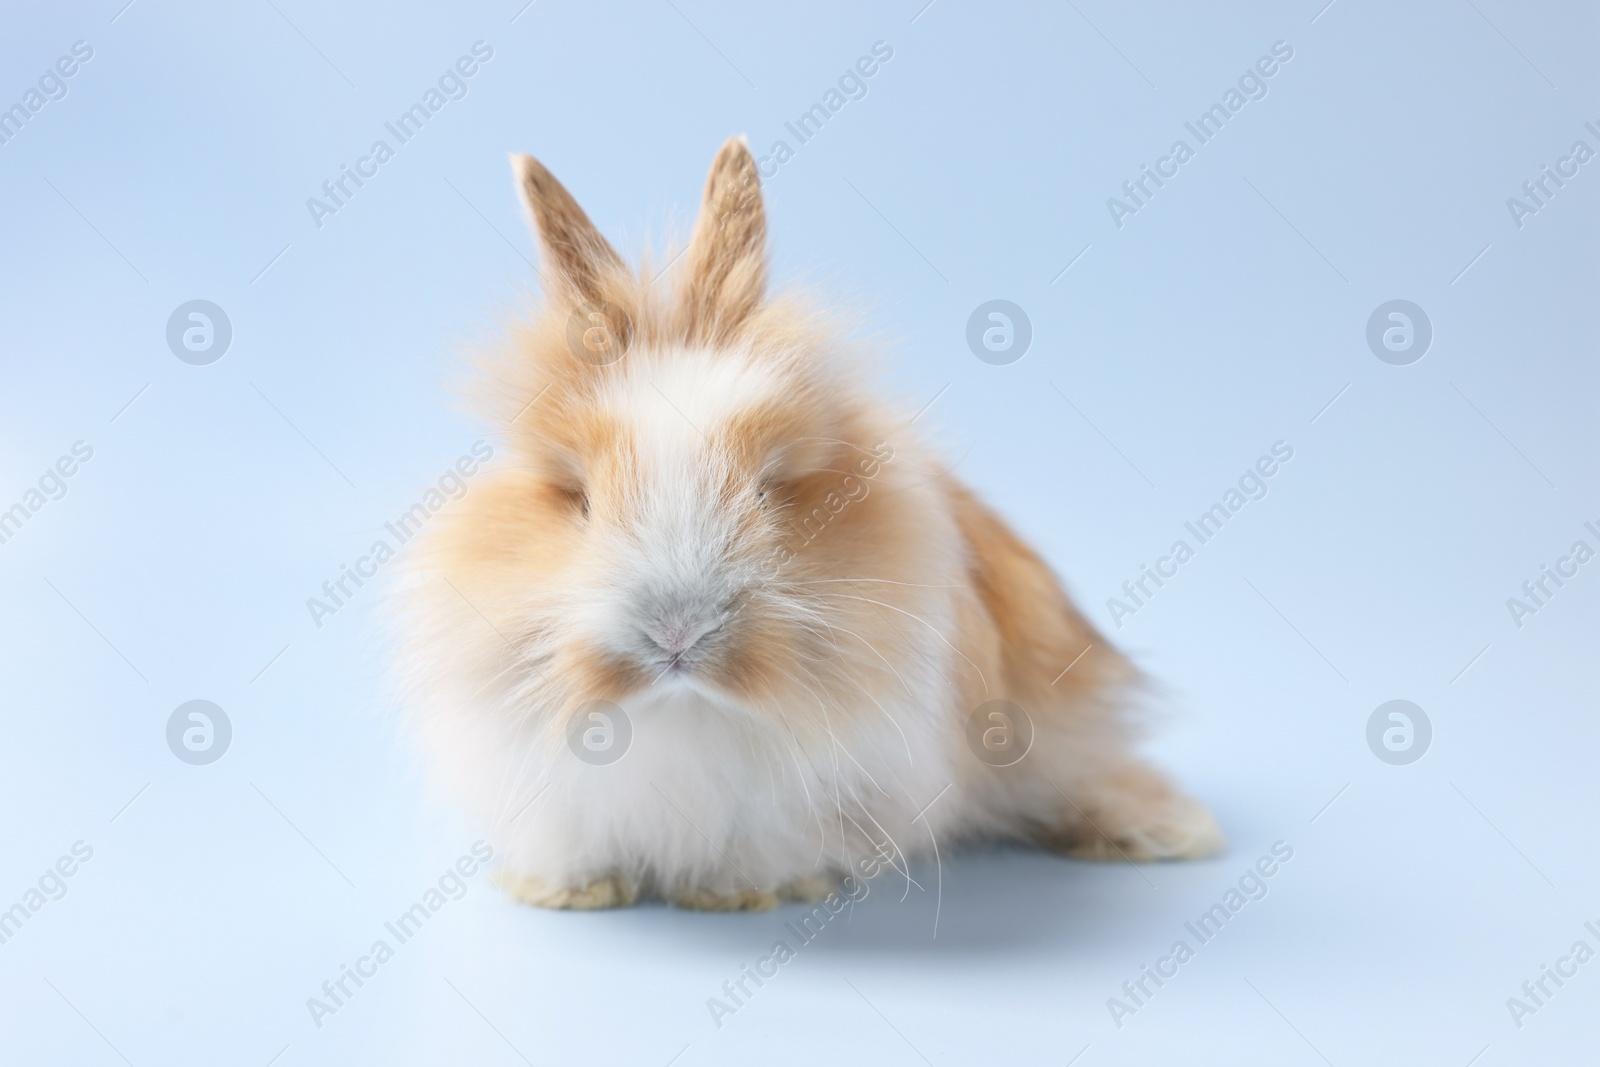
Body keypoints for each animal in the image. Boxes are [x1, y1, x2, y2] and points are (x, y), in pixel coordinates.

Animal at [393, 137, 1216, 915]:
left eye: (770, 489)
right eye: (582, 500)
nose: (677, 631)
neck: (684, 713)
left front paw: (733, 893)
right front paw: (567, 891)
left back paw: (1167, 831)